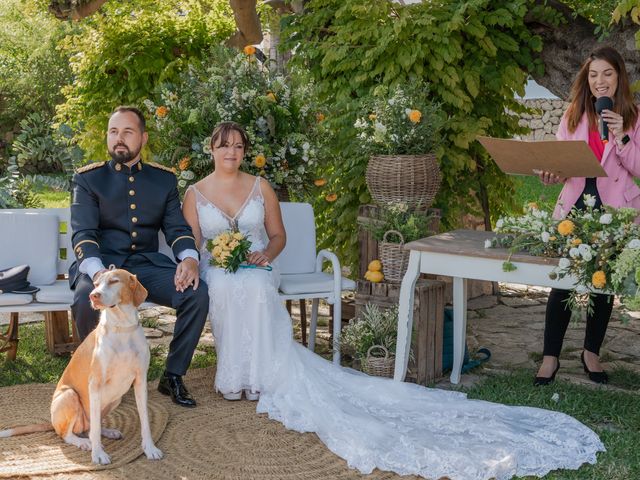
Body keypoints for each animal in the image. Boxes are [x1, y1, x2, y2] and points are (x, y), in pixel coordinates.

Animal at [0, 268, 164, 464]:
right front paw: (98, 454)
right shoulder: (95, 384)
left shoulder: (140, 381)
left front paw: (150, 449)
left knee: (92, 426)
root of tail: (52, 422)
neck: (122, 328)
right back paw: (83, 442)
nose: (93, 295)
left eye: (114, 281)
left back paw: (106, 433)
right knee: (68, 434)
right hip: (70, 395)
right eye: (96, 284)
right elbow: (94, 430)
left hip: (115, 399)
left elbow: (145, 420)